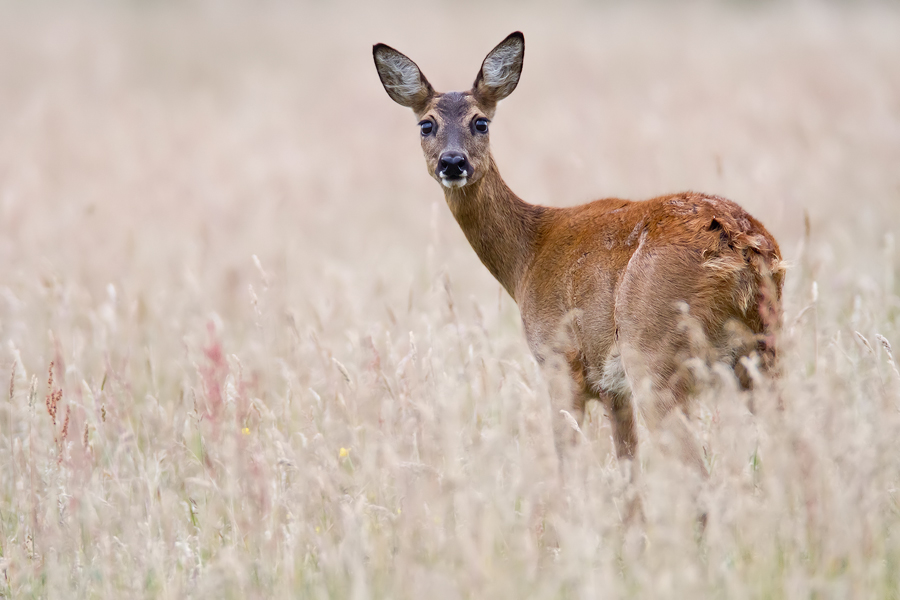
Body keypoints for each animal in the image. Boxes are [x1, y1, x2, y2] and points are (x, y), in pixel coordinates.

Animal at [372, 32, 780, 480]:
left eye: (481, 122)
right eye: (426, 124)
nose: (452, 162)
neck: (526, 257)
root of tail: (739, 246)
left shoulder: (558, 359)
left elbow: (566, 464)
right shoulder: (612, 389)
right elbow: (628, 473)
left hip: (654, 351)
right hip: (763, 351)